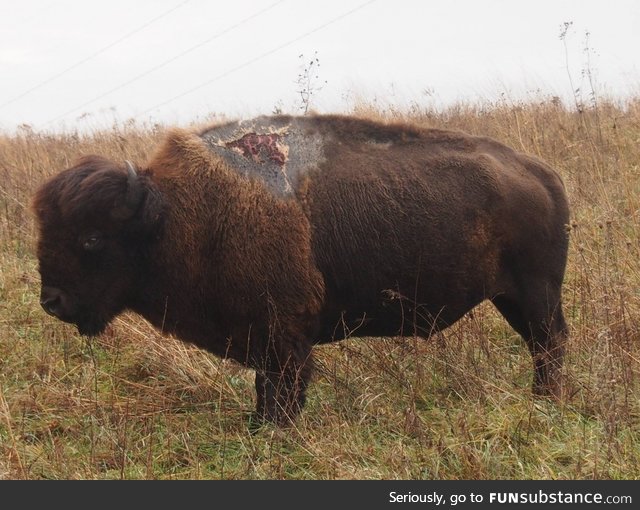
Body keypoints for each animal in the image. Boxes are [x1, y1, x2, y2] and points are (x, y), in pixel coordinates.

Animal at [32, 113, 568, 424]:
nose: (51, 301)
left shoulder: (283, 337)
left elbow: (282, 389)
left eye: (92, 237)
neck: (172, 214)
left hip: (535, 295)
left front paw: (276, 429)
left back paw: (545, 402)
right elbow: (264, 389)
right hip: (512, 298)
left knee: (550, 343)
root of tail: (540, 173)